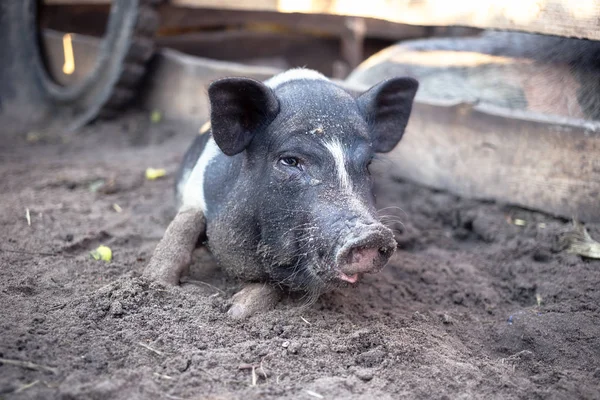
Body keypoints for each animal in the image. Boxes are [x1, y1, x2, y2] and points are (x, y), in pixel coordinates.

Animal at [144, 69, 418, 318]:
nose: (373, 234)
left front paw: (235, 310)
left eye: (368, 164)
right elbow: (181, 229)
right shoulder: (195, 193)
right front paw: (154, 282)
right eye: (290, 160)